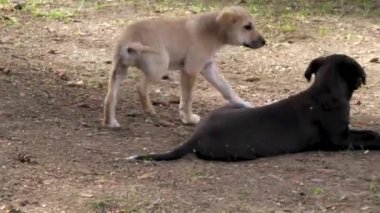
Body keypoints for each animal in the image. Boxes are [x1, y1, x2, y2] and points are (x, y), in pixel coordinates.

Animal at [102, 5, 266, 127]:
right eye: (247, 27)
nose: (264, 42)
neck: (212, 29)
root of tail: (130, 40)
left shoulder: (208, 68)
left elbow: (227, 89)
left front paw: (243, 104)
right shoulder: (190, 71)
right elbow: (188, 99)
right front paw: (188, 119)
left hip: (119, 71)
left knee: (110, 97)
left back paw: (110, 122)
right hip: (160, 67)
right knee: (141, 87)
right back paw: (149, 110)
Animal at [130, 54, 380, 161]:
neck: (325, 91)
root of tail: (197, 136)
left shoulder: (346, 132)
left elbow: (369, 132)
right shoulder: (339, 140)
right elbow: (366, 139)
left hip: (230, 107)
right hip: (243, 152)